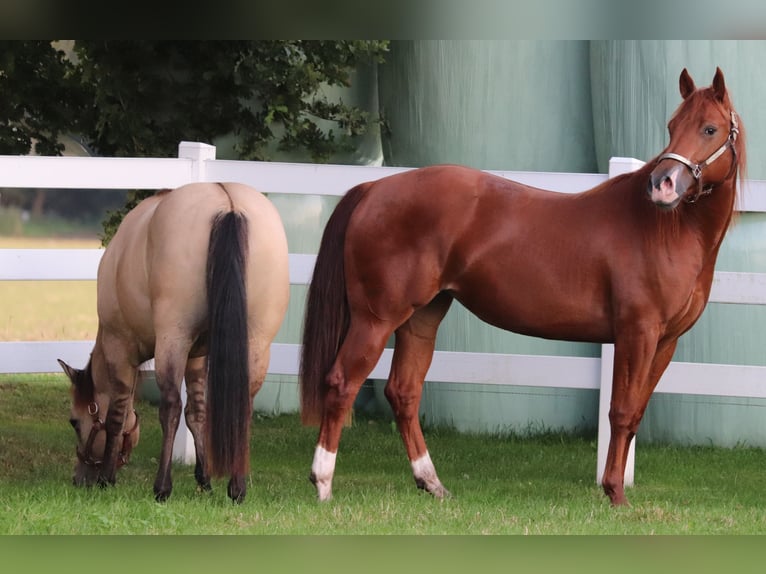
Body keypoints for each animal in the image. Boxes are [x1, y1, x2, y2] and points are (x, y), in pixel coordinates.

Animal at [59, 182, 290, 503]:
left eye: (74, 421)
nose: (79, 478)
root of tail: (227, 203)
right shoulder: (197, 357)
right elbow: (198, 413)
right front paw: (204, 480)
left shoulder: (121, 348)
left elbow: (118, 414)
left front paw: (107, 477)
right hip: (256, 343)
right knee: (240, 407)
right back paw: (236, 488)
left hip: (173, 340)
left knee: (169, 407)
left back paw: (162, 487)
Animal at [299, 67, 745, 506]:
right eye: (672, 126)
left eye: (709, 128)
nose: (662, 185)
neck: (665, 228)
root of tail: (373, 189)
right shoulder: (637, 333)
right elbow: (620, 411)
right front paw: (615, 494)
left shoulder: (665, 341)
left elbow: (635, 413)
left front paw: (614, 488)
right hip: (376, 320)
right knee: (341, 383)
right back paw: (323, 483)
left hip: (422, 318)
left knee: (404, 392)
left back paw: (432, 483)